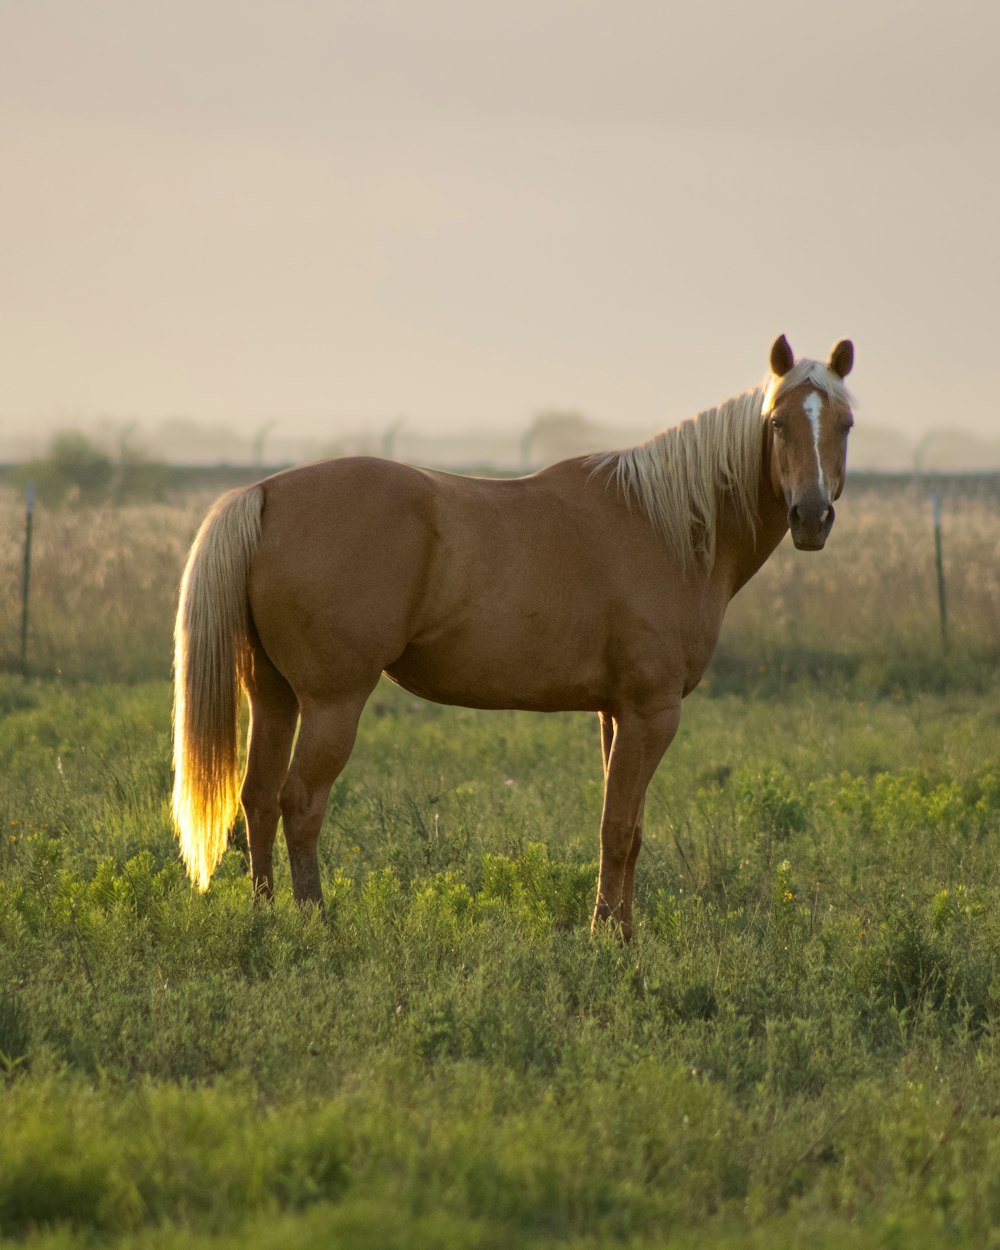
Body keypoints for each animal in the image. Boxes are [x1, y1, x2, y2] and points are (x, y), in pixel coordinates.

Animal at [170, 335, 850, 940]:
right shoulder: (651, 713)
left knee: (257, 799)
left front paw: (619, 930)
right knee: (300, 802)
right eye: (778, 424)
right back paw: (314, 920)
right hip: (332, 704)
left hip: (275, 696)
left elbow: (625, 830)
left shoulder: (615, 713)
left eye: (844, 424)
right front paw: (609, 938)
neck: (667, 526)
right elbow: (618, 829)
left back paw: (266, 918)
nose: (812, 517)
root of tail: (264, 494)